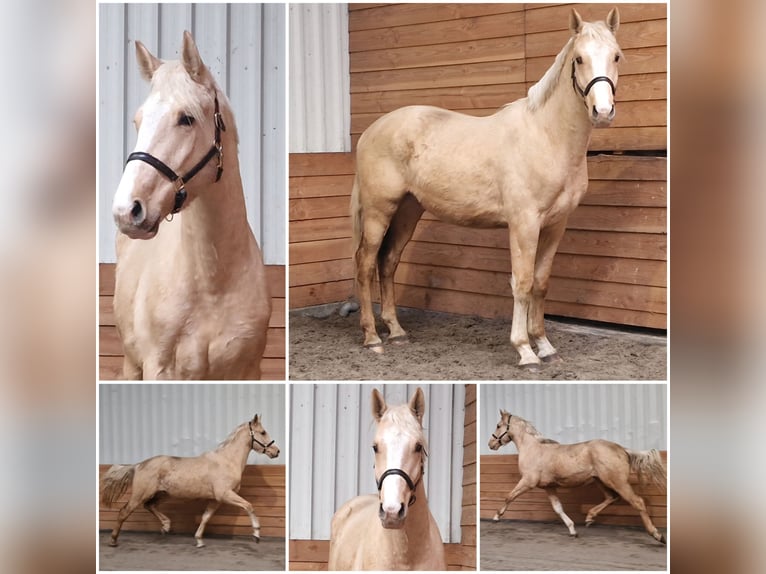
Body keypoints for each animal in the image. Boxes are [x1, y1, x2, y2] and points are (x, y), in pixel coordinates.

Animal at [100, 414, 280, 548]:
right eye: (263, 432)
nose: (276, 451)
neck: (227, 460)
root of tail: (139, 465)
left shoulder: (216, 499)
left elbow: (206, 517)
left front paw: (199, 540)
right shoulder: (225, 494)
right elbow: (249, 506)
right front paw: (256, 534)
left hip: (161, 493)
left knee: (149, 506)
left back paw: (166, 526)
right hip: (140, 494)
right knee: (124, 512)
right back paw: (113, 540)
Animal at [111, 31, 271, 379]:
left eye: (186, 118)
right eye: (137, 121)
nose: (126, 211)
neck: (213, 285)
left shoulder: (248, 369)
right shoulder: (159, 369)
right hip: (131, 362)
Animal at [351, 8, 622, 367]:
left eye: (616, 56)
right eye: (579, 59)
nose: (602, 112)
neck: (546, 136)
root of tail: (371, 131)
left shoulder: (556, 224)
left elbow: (540, 283)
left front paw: (545, 346)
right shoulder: (524, 224)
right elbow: (522, 282)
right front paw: (524, 350)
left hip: (408, 209)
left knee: (389, 261)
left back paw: (396, 331)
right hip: (379, 210)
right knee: (366, 264)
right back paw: (371, 338)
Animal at [488, 409, 666, 544]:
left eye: (498, 425)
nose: (491, 444)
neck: (533, 449)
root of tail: (622, 449)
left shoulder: (528, 482)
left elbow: (509, 496)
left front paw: (496, 516)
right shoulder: (549, 487)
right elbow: (558, 509)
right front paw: (573, 530)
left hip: (617, 481)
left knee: (637, 502)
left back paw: (657, 535)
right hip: (601, 481)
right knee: (612, 497)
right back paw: (589, 518)